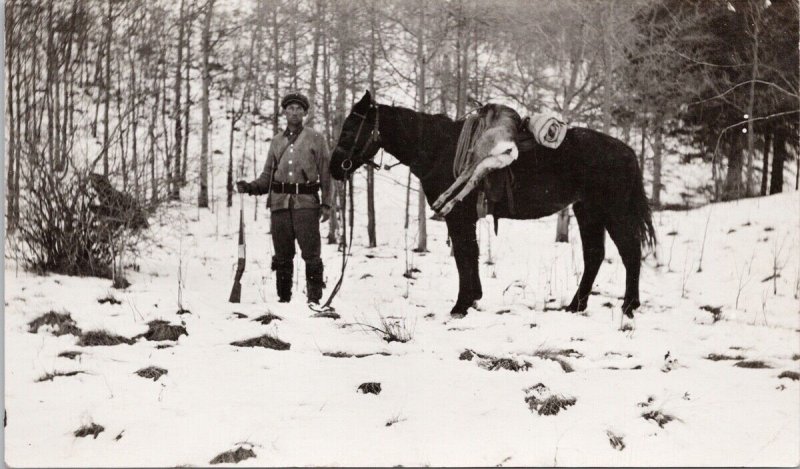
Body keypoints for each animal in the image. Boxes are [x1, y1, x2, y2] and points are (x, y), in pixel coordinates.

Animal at [332, 90, 656, 318]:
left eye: (350, 128)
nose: (336, 167)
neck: (438, 147)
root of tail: (627, 152)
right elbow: (469, 256)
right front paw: (471, 299)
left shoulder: (458, 216)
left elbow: (465, 256)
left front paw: (461, 305)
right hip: (588, 211)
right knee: (594, 256)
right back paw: (576, 305)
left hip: (613, 213)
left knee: (629, 253)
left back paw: (629, 306)